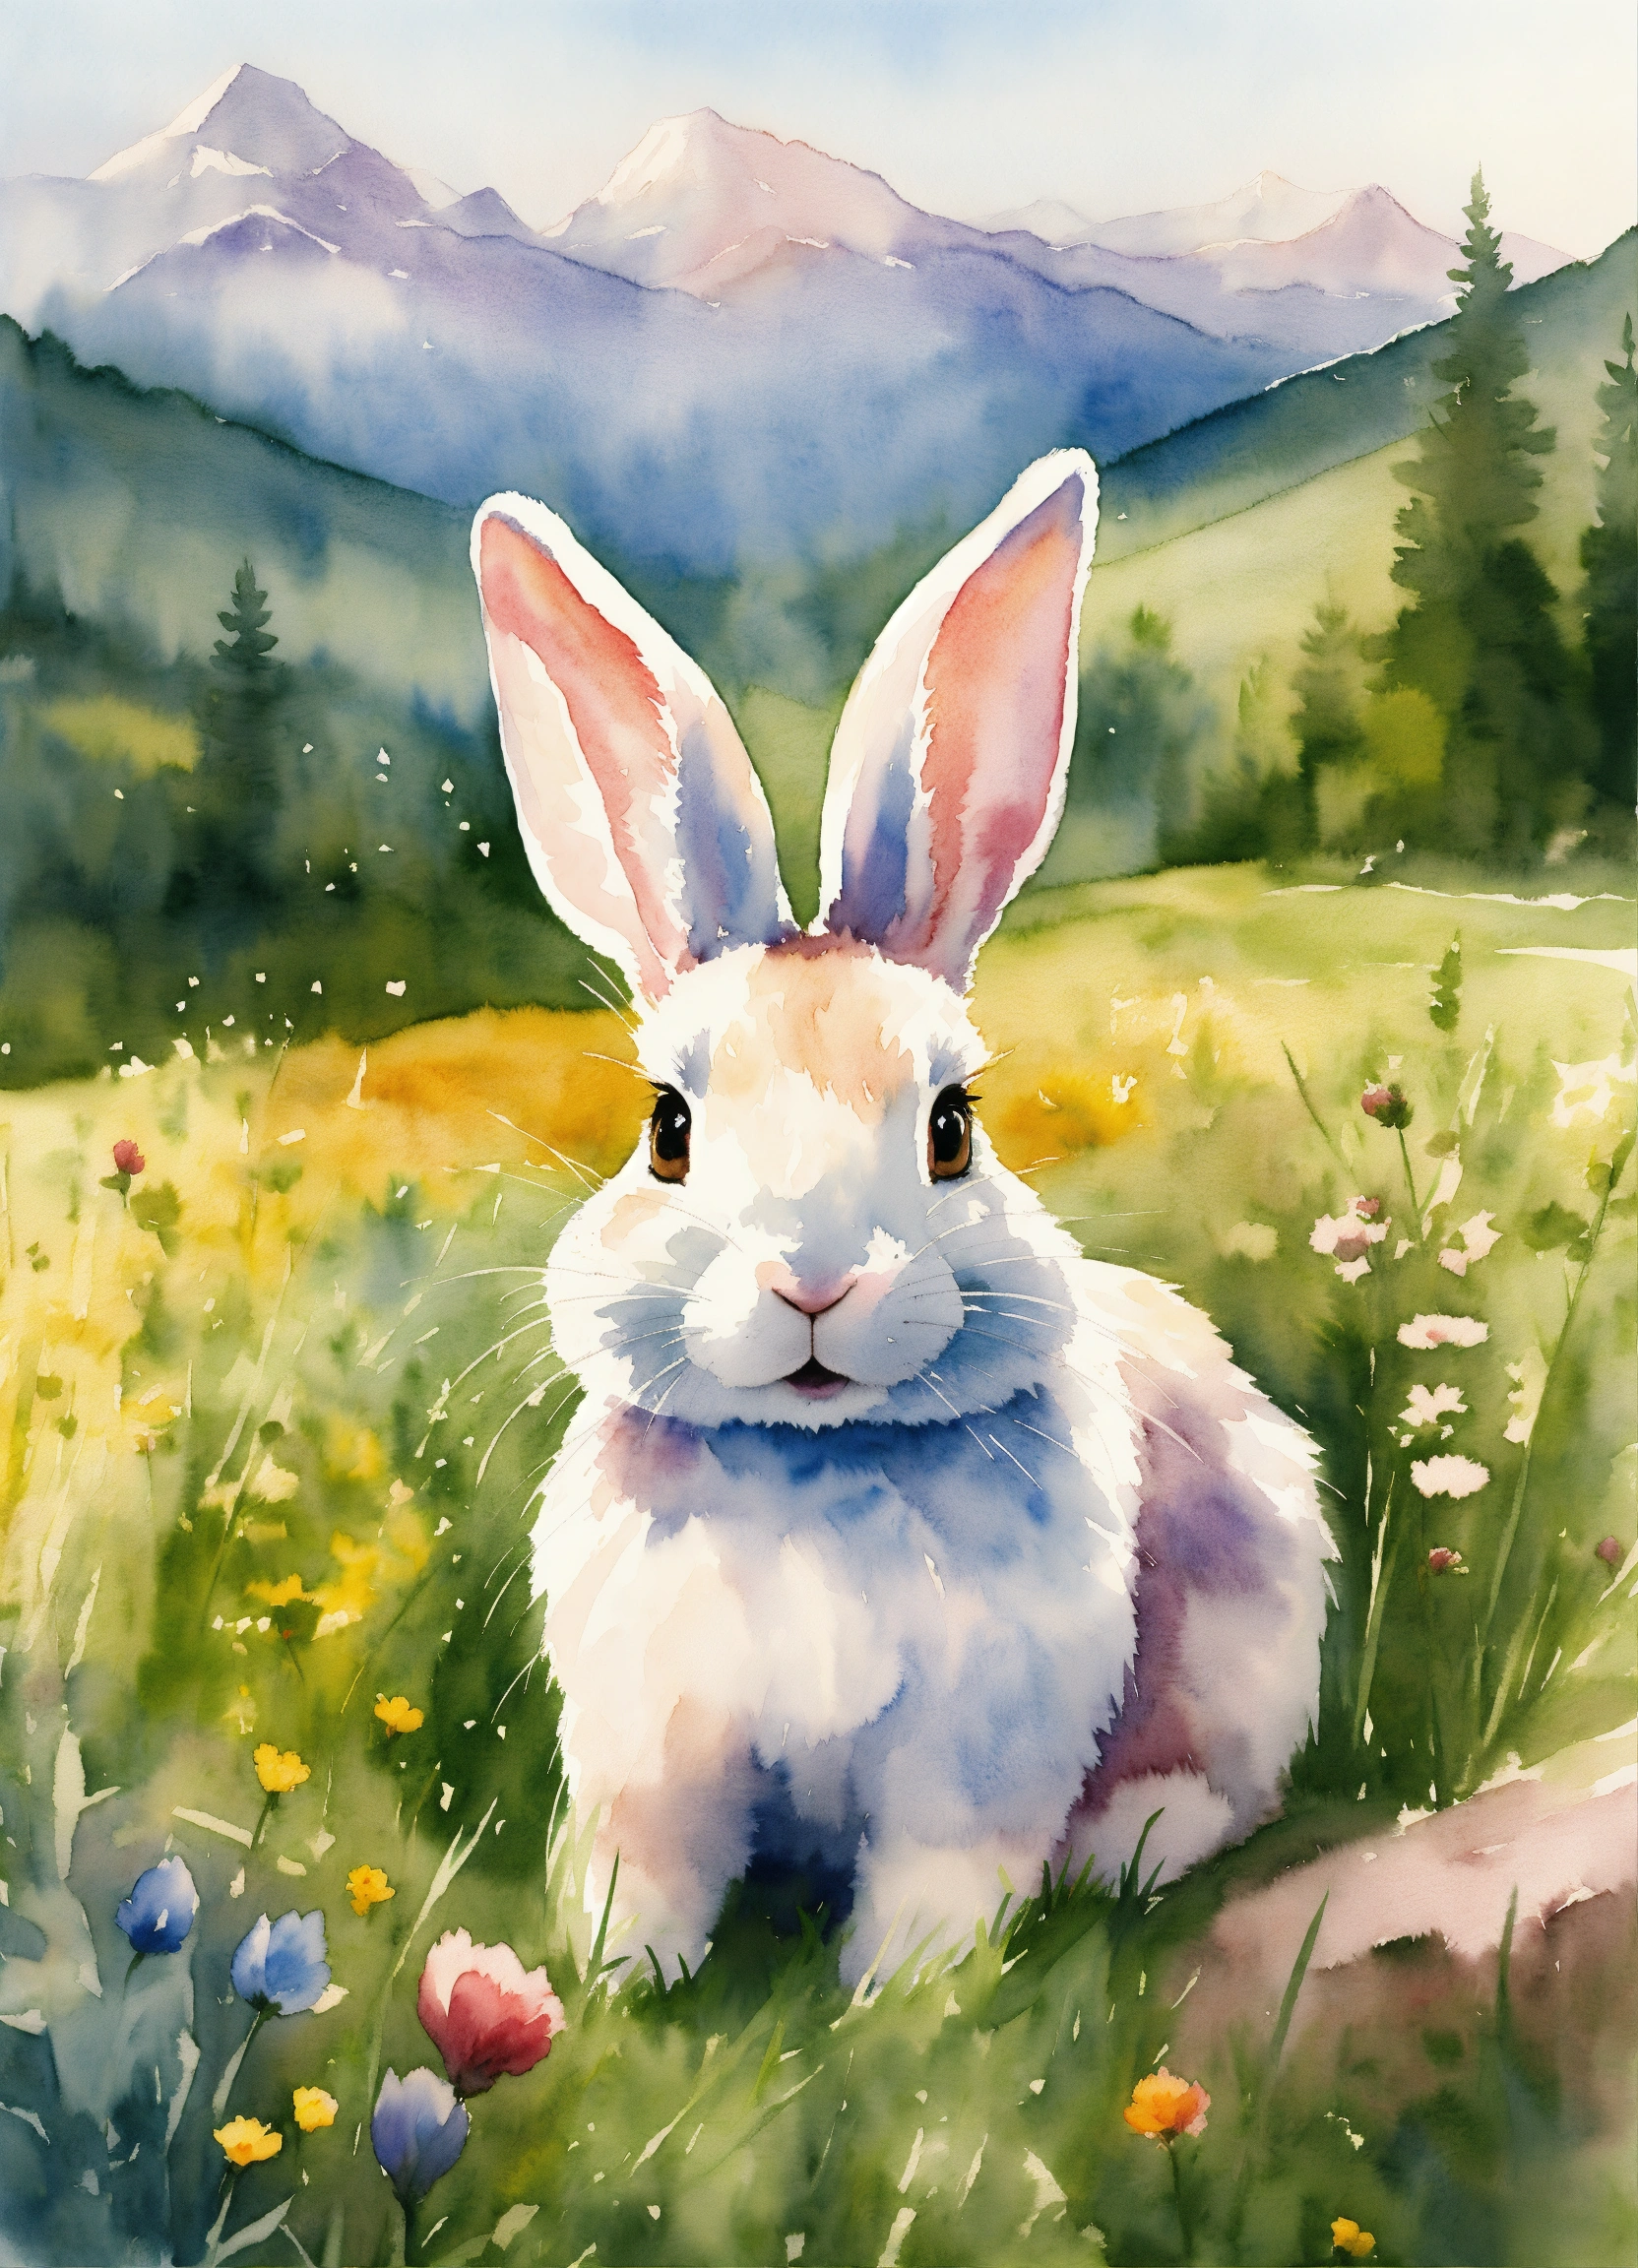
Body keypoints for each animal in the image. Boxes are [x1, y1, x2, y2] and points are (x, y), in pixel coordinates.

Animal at [471, 450, 1336, 1988]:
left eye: (951, 1128)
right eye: (668, 1130)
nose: (815, 1286)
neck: (815, 1469)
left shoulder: (980, 1745)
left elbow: (943, 1873)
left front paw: (900, 1993)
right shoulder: (657, 1745)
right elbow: (655, 1867)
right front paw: (616, 1976)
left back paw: (1131, 1844)